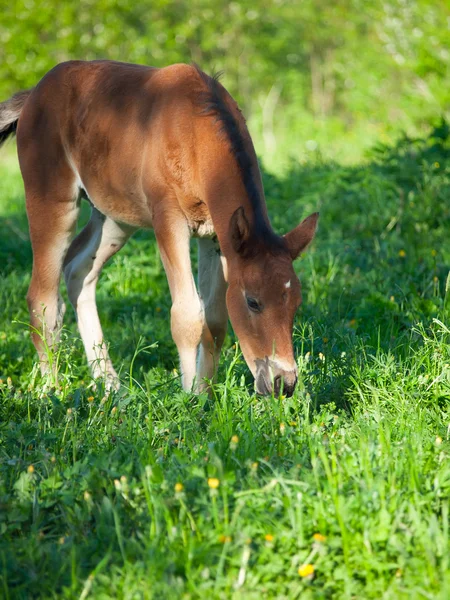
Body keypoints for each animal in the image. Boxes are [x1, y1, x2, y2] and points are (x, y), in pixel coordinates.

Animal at [0, 61, 318, 396]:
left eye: (296, 303)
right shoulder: (169, 220)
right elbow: (187, 316)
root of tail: (34, 94)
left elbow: (215, 321)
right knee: (42, 300)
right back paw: (51, 392)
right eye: (253, 302)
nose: (284, 382)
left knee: (77, 269)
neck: (194, 134)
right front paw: (189, 397)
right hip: (52, 200)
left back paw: (111, 387)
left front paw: (204, 395)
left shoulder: (215, 236)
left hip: (115, 217)